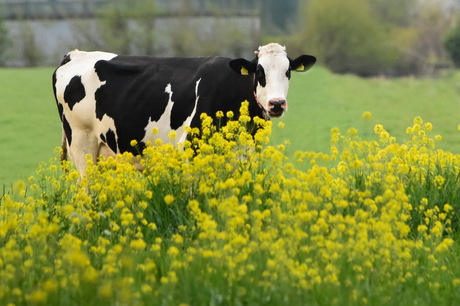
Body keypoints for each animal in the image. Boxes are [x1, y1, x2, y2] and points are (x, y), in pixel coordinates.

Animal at [51, 43, 316, 177]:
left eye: (288, 71)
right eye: (259, 72)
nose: (276, 104)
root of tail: (76, 54)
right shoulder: (190, 152)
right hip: (82, 145)